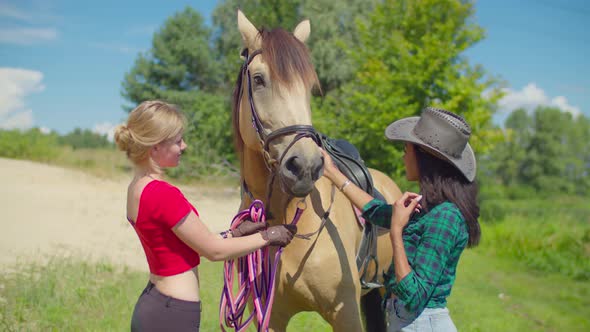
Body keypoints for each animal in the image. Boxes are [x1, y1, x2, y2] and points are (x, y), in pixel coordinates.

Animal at [231, 9, 402, 330]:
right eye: (259, 79)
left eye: (309, 88)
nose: (306, 166)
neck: (285, 215)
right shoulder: (271, 316)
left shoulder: (346, 313)